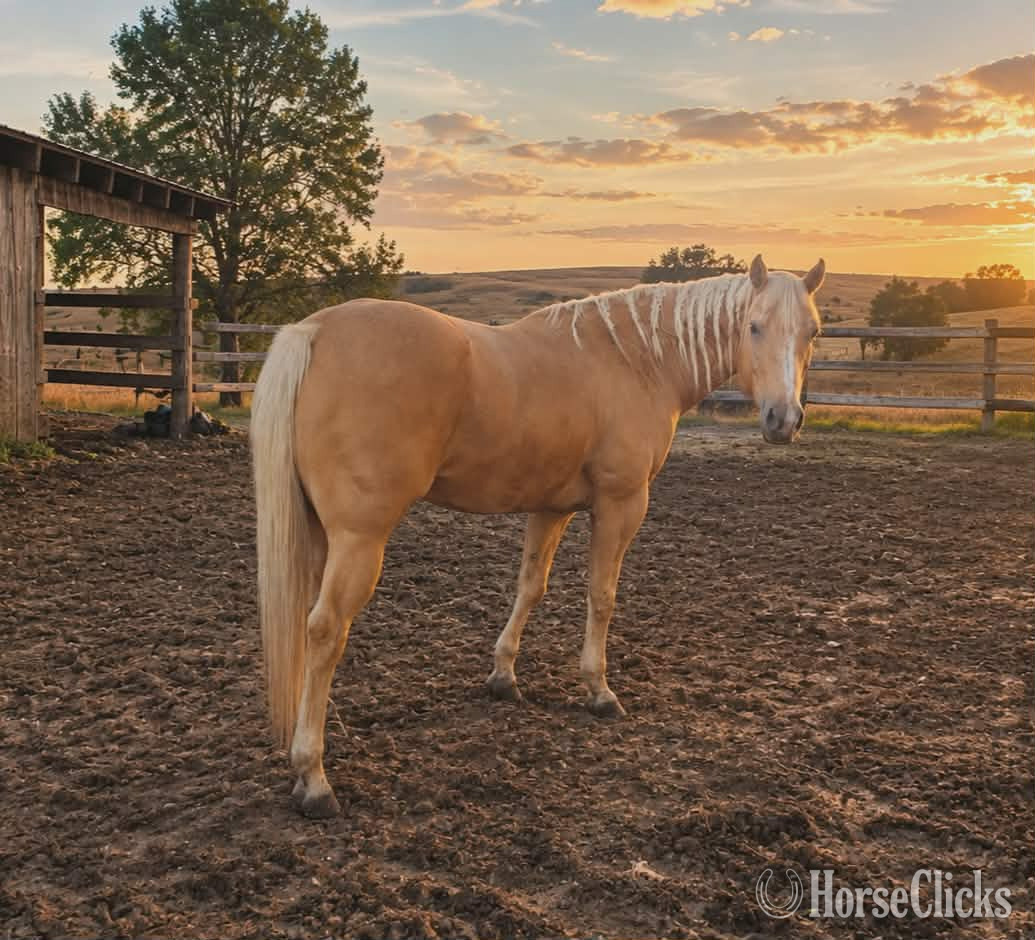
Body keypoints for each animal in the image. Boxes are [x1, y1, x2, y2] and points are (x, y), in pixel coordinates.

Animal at [251, 253, 825, 817]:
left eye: (812, 331)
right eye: (754, 326)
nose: (783, 419)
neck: (635, 359)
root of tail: (313, 331)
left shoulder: (551, 508)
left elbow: (531, 587)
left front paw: (503, 677)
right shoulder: (621, 504)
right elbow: (602, 595)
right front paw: (599, 690)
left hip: (319, 535)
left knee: (306, 624)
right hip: (359, 538)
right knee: (326, 629)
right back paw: (314, 776)